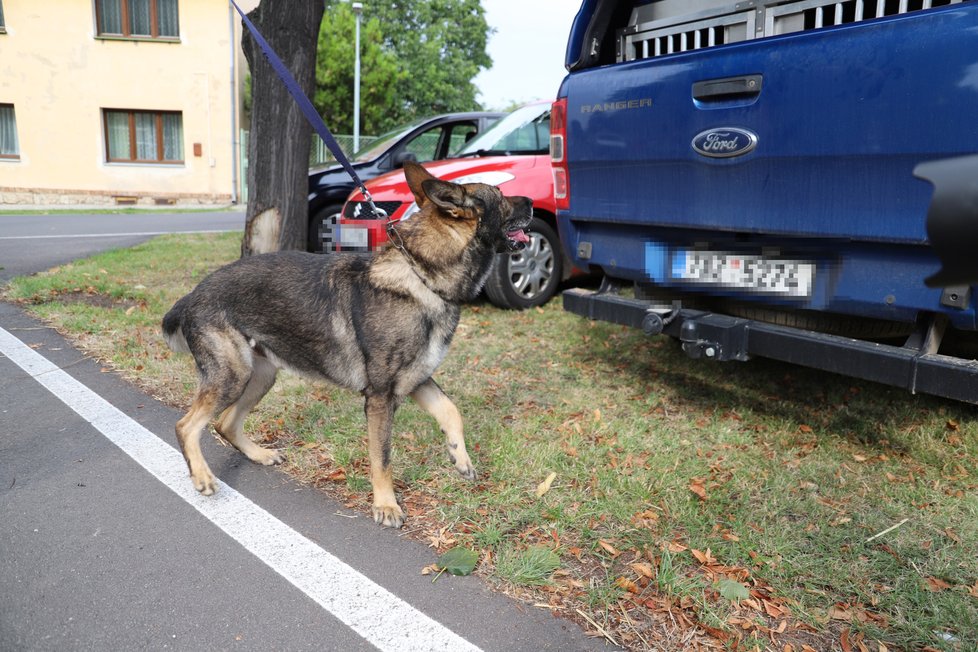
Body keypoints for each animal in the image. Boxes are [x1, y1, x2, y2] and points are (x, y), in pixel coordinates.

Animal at [162, 163, 528, 528]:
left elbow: (451, 412)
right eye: (502, 196)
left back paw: (258, 454)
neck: (421, 276)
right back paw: (202, 476)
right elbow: (382, 457)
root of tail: (193, 294)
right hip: (233, 377)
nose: (531, 202)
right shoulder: (381, 398)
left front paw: (460, 456)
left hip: (260, 376)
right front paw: (386, 505)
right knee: (186, 426)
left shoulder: (417, 381)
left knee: (224, 423)